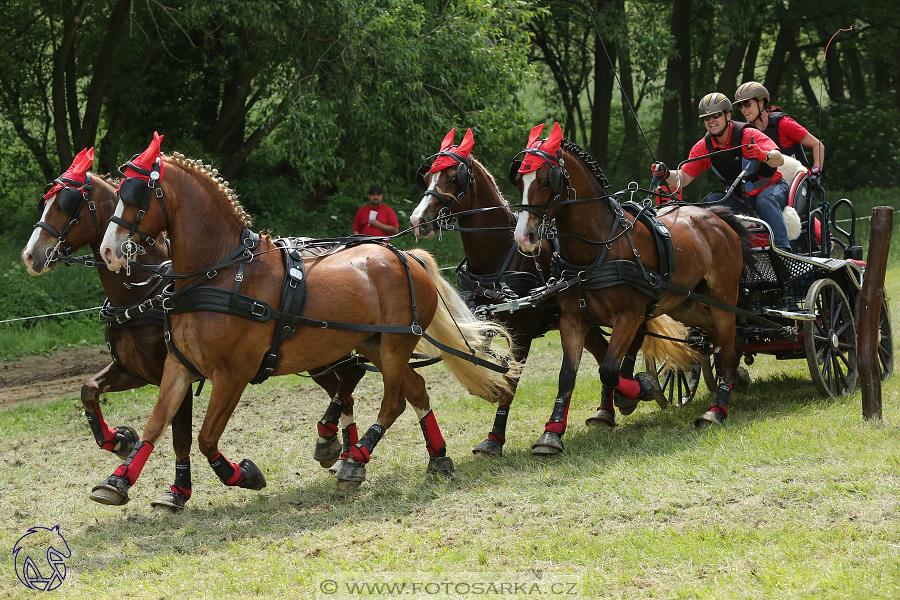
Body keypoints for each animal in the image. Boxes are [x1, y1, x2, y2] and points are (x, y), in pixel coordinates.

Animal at [22, 148, 370, 508]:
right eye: (46, 201)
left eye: (67, 203)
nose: (30, 255)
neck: (144, 291)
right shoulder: (137, 370)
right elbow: (91, 391)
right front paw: (119, 443)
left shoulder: (184, 373)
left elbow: (182, 436)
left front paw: (178, 490)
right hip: (320, 357)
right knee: (348, 384)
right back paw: (342, 452)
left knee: (350, 380)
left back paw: (343, 451)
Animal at [94, 135, 516, 502]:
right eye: (118, 191)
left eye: (135, 195)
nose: (108, 250)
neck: (220, 274)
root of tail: (407, 257)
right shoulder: (179, 367)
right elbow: (156, 423)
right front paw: (118, 480)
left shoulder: (233, 375)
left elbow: (206, 438)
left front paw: (243, 475)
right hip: (374, 343)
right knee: (415, 389)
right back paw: (437, 457)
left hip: (396, 344)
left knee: (394, 401)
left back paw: (355, 462)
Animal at [408, 127, 696, 454]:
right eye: (427, 177)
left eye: (453, 178)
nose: (417, 220)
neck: (501, 255)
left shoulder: (522, 332)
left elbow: (512, 384)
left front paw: (495, 438)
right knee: (605, 353)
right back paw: (606, 411)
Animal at [510, 123, 756, 440]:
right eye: (519, 180)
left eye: (545, 181)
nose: (523, 236)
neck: (598, 248)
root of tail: (716, 216)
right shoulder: (573, 319)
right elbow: (567, 376)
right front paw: (551, 433)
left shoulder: (630, 316)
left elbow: (609, 370)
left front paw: (641, 389)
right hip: (684, 303)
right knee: (720, 338)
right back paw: (730, 377)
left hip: (723, 296)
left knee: (727, 342)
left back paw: (717, 408)